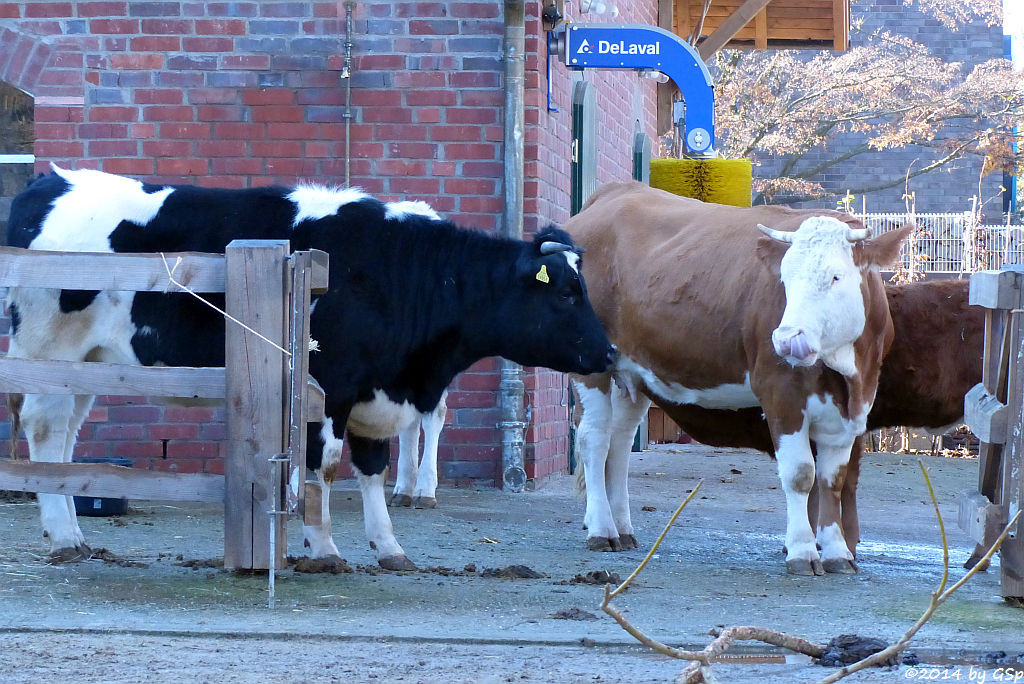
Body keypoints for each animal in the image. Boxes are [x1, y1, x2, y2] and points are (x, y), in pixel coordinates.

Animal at [6, 166, 614, 573]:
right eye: (565, 293)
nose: (609, 354)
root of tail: (50, 181)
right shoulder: (332, 386)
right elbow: (322, 466)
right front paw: (323, 549)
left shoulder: (375, 391)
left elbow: (373, 467)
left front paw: (389, 547)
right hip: (48, 352)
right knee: (44, 431)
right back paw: (63, 537)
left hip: (86, 366)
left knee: (63, 439)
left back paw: (70, 533)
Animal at [569, 183, 913, 577]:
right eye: (784, 279)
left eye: (835, 276)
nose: (786, 339)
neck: (846, 375)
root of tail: (613, 193)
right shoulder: (780, 393)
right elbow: (800, 474)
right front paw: (802, 551)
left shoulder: (853, 407)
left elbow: (833, 480)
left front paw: (837, 552)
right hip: (589, 361)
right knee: (595, 439)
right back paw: (601, 529)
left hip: (632, 372)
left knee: (621, 442)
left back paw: (622, 528)